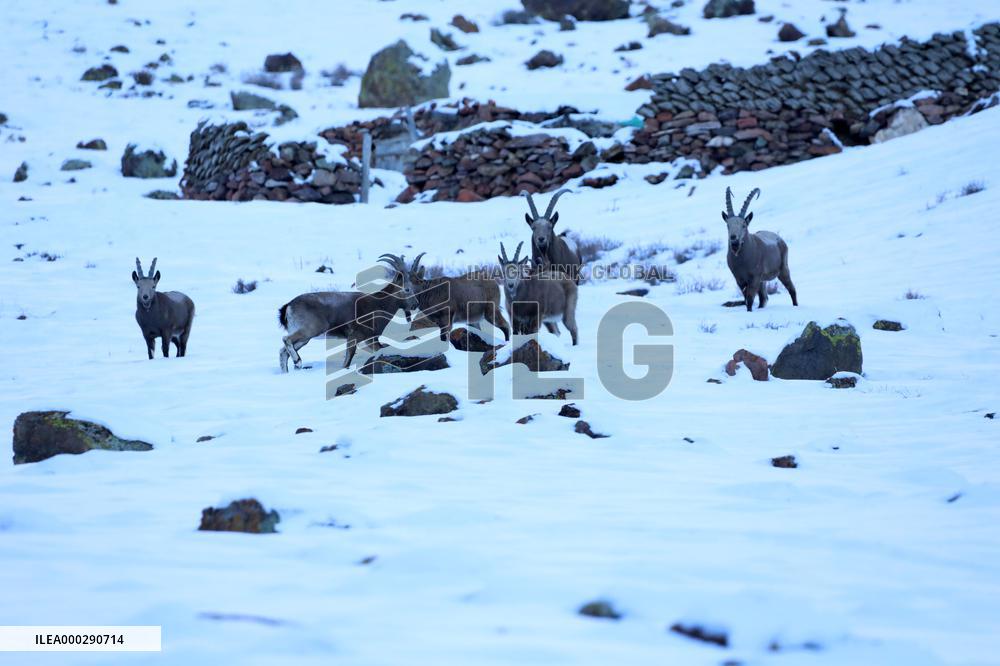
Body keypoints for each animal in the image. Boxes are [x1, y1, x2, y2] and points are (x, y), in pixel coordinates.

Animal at [277, 258, 418, 372]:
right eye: (407, 289)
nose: (415, 304)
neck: (379, 304)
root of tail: (289, 306)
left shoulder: (370, 340)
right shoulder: (355, 337)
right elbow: (347, 360)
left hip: (305, 339)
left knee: (283, 352)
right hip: (310, 330)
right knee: (286, 339)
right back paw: (298, 362)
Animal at [380, 252, 511, 343]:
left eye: (415, 282)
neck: (430, 292)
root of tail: (493, 282)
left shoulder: (446, 318)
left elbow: (444, 337)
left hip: (491, 310)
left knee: (505, 326)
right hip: (473, 319)